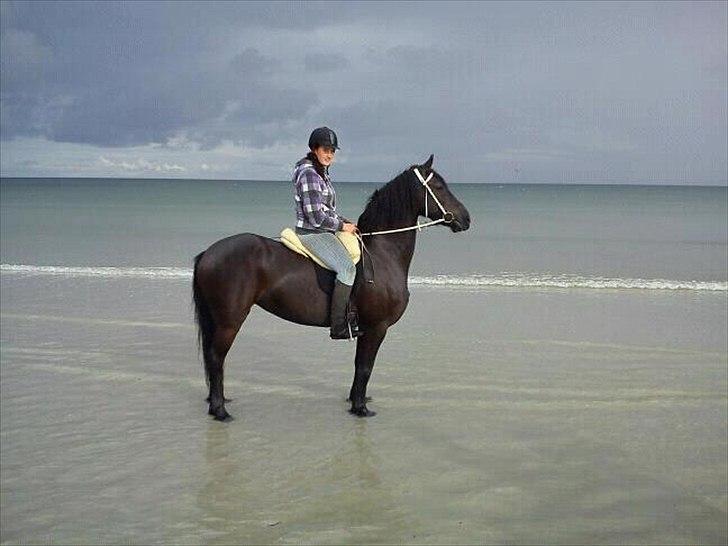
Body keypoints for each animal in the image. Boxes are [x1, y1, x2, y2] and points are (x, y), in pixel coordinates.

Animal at [192, 155, 472, 418]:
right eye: (439, 186)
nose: (466, 219)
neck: (382, 254)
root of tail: (209, 253)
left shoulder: (365, 329)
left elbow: (359, 366)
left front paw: (356, 399)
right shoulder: (376, 328)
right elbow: (365, 367)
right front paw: (360, 408)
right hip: (230, 321)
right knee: (216, 357)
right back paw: (220, 411)